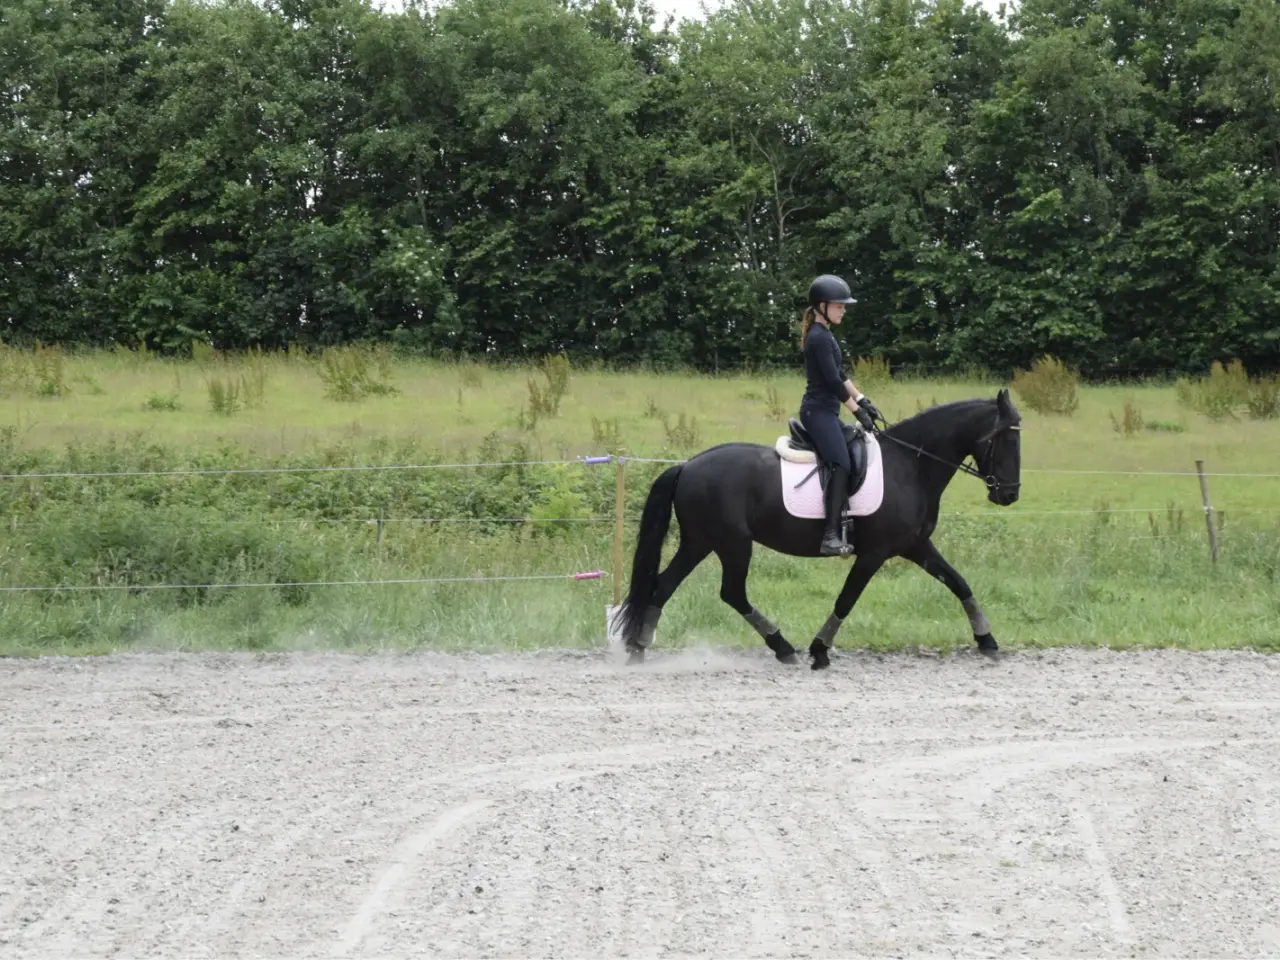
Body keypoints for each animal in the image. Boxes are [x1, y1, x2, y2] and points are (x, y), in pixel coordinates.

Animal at [613, 390, 1022, 669]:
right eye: (1008, 438)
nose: (1010, 495)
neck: (911, 465)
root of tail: (687, 465)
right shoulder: (874, 553)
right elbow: (846, 599)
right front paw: (819, 650)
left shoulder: (916, 545)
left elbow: (959, 583)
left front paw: (987, 640)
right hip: (731, 543)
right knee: (731, 592)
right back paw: (783, 647)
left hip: (699, 542)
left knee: (664, 585)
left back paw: (638, 648)